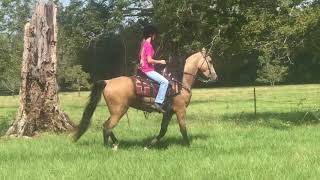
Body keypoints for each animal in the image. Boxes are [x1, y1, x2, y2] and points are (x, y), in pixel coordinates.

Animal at [73, 47, 218, 149]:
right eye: (210, 61)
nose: (215, 77)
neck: (179, 82)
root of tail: (107, 82)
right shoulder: (180, 110)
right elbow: (183, 129)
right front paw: (188, 145)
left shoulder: (168, 113)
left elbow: (163, 131)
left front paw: (149, 145)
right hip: (119, 111)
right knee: (107, 127)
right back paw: (109, 147)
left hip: (117, 111)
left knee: (106, 126)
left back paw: (116, 143)